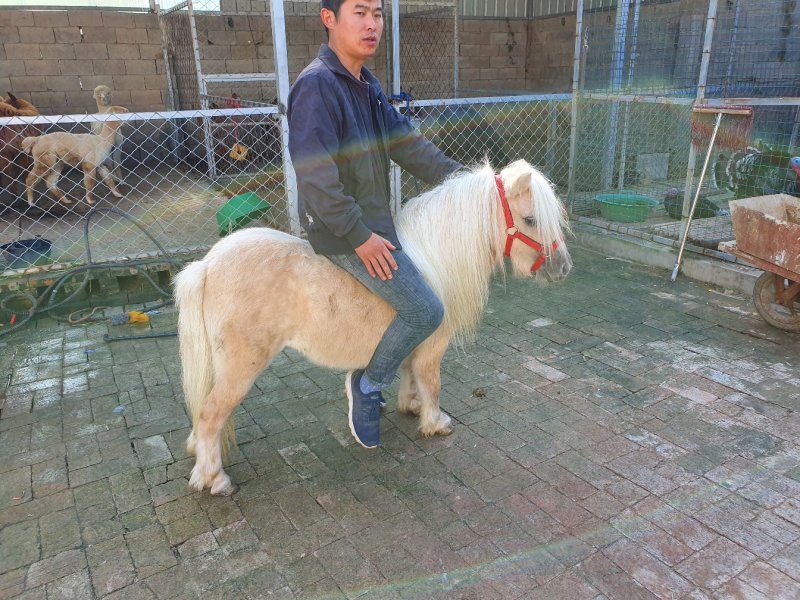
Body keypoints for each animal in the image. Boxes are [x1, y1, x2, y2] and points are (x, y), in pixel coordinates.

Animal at [175, 160, 573, 495]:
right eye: (531, 219)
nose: (563, 268)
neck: (433, 260)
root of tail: (207, 264)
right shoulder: (432, 345)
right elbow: (431, 383)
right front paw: (435, 422)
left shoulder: (414, 342)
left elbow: (411, 376)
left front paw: (411, 406)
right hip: (240, 368)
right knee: (210, 415)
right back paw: (215, 479)